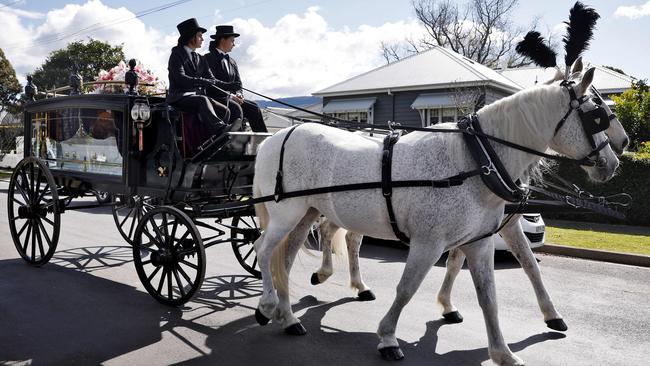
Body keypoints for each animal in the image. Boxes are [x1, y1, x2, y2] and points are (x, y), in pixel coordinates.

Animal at [251, 66, 616, 366]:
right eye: (597, 116)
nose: (613, 162)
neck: (473, 161)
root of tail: (275, 138)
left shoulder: (479, 243)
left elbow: (489, 296)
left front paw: (502, 353)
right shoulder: (428, 242)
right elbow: (407, 288)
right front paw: (387, 338)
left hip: (306, 212)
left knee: (287, 257)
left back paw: (289, 316)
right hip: (286, 213)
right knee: (263, 250)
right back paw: (268, 305)